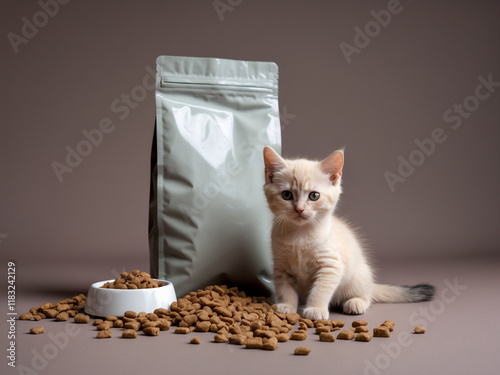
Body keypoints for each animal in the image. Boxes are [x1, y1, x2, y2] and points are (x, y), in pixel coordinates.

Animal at [264, 147, 436, 320]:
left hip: (358, 277)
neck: (299, 234)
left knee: (367, 296)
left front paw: (316, 309)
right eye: (286, 195)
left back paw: (356, 303)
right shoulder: (281, 268)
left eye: (314, 195)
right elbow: (285, 289)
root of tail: (371, 284)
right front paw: (286, 306)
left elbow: (320, 290)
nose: (299, 209)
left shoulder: (331, 266)